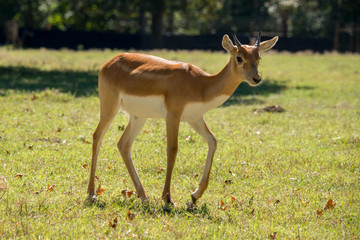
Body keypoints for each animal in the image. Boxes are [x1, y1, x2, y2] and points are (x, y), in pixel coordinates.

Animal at [86, 32, 278, 203]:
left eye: (258, 58)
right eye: (239, 57)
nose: (256, 78)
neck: (201, 85)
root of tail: (107, 63)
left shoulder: (195, 118)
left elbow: (213, 141)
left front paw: (194, 196)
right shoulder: (173, 114)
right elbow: (172, 149)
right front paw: (167, 198)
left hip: (138, 116)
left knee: (123, 144)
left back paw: (143, 196)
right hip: (110, 105)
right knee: (97, 136)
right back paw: (91, 194)